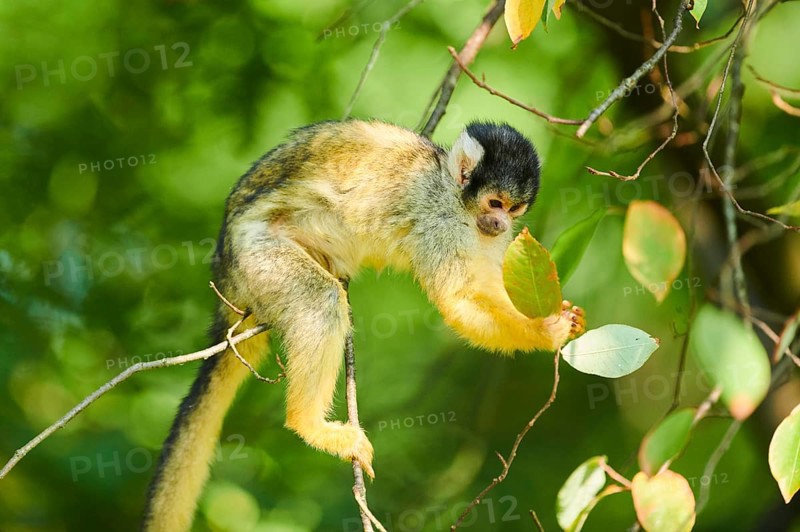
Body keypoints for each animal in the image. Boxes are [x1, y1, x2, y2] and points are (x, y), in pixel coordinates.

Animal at [142, 119, 585, 531]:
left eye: (513, 209)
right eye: (494, 202)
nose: (499, 224)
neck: (452, 191)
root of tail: (225, 266)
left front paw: (555, 314)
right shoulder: (439, 221)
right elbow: (458, 301)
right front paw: (546, 331)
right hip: (257, 257)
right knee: (320, 301)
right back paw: (309, 425)